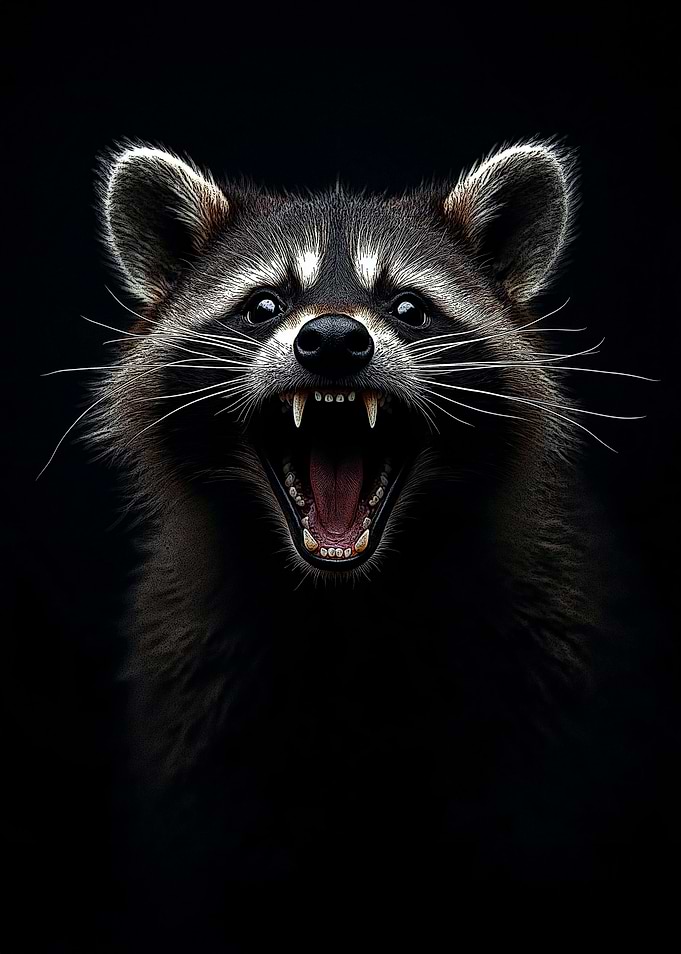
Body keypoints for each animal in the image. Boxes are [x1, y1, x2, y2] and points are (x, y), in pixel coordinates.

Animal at [76, 139, 628, 912]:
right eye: (264, 305)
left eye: (408, 308)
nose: (334, 338)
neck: (347, 601)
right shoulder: (196, 688)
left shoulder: (544, 664)